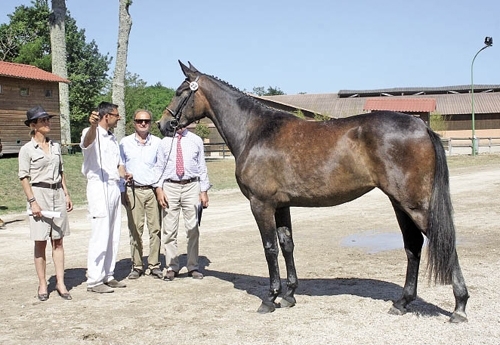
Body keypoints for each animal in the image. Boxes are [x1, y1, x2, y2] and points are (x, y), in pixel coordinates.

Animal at [159, 60, 468, 322]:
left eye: (179, 92)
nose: (164, 124)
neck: (256, 131)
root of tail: (421, 126)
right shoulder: (281, 205)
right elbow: (287, 245)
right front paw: (289, 295)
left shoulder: (261, 204)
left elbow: (270, 248)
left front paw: (270, 298)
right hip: (400, 202)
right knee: (412, 246)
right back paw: (402, 303)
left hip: (415, 204)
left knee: (443, 242)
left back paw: (459, 307)